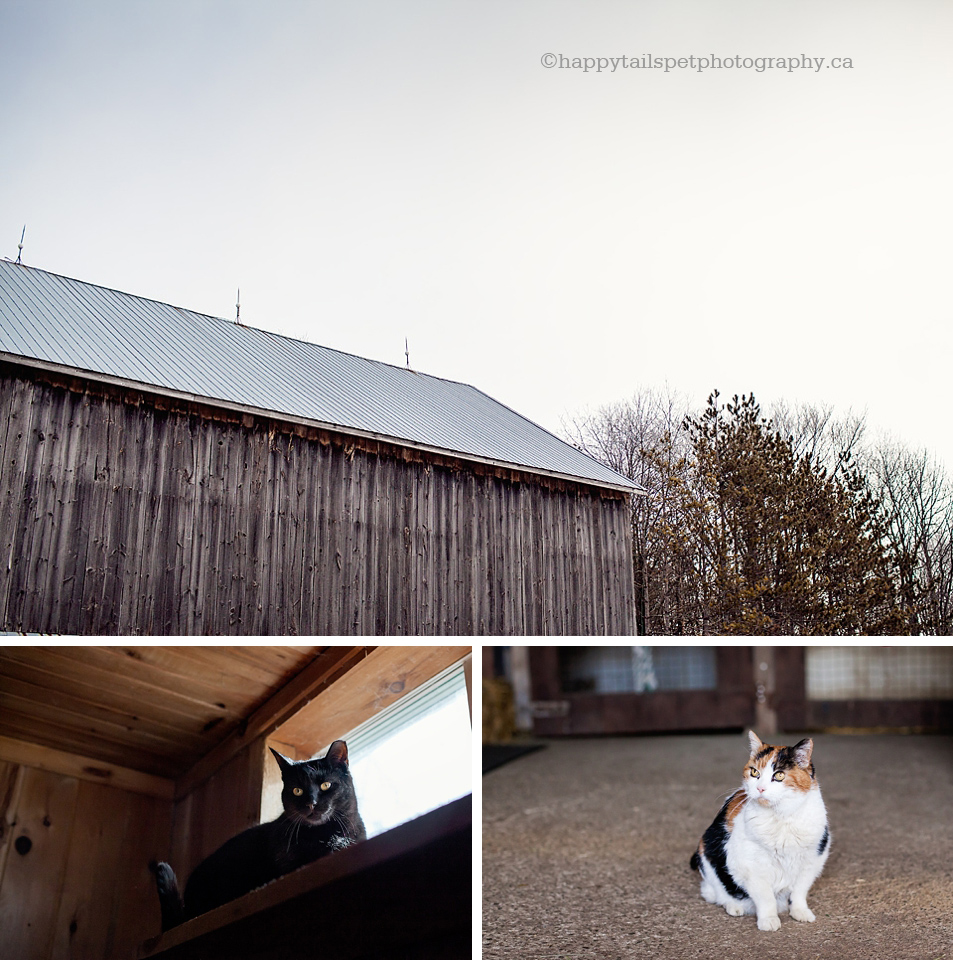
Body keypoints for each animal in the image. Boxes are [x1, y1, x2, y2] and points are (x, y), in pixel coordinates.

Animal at [688, 736, 828, 928]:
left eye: (779, 775)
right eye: (754, 772)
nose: (760, 788)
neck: (781, 817)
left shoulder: (812, 860)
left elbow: (799, 891)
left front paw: (800, 912)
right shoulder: (751, 866)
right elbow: (765, 896)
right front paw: (769, 920)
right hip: (706, 853)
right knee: (713, 891)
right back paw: (734, 907)